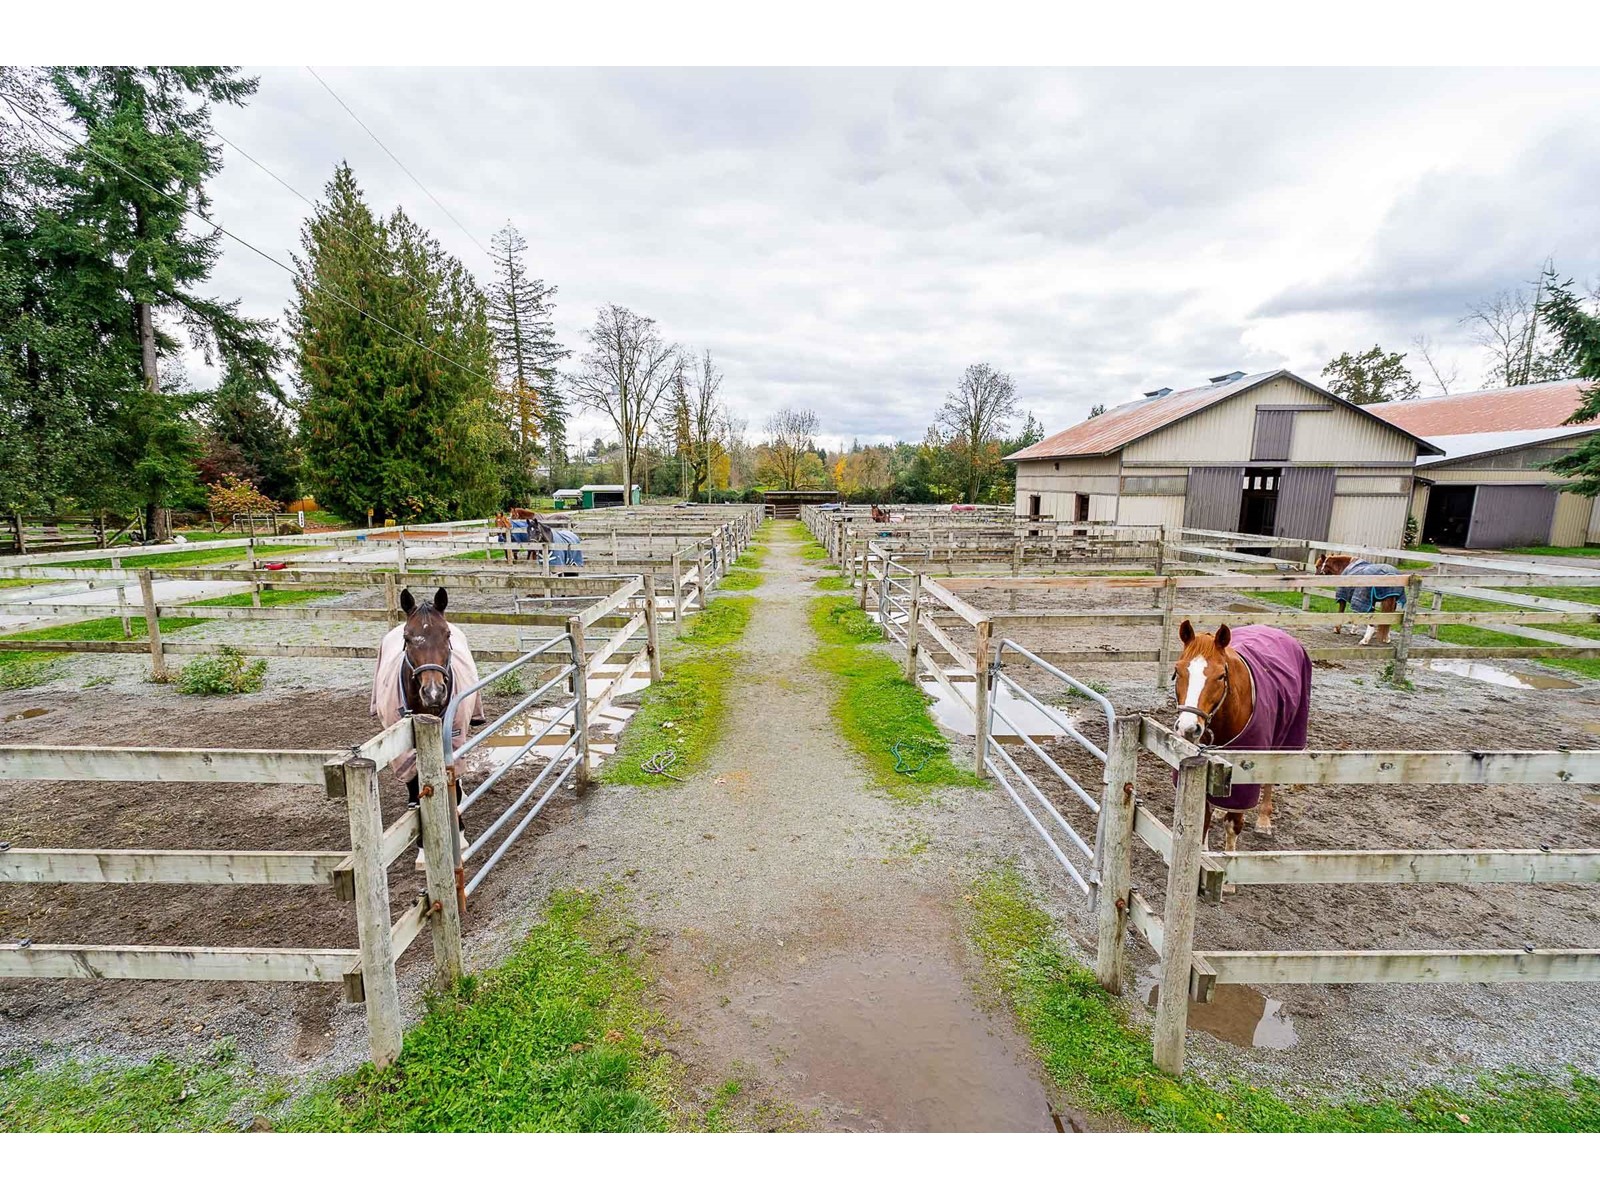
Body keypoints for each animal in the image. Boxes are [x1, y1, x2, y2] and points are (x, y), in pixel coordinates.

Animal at [1177, 620, 1312, 857]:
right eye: (1177, 670)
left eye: (1221, 676)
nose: (1188, 727)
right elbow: (1204, 818)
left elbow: (1233, 825)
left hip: (1279, 746)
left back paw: (1264, 821)